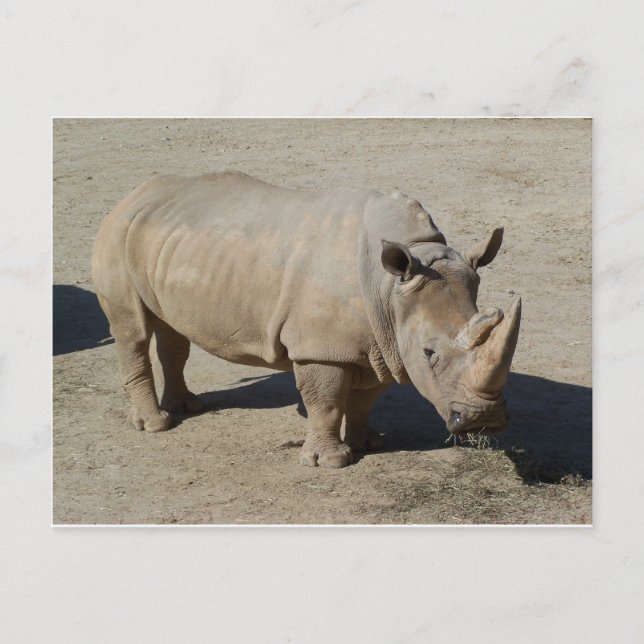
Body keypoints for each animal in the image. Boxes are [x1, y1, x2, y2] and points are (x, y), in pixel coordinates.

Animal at [92, 170, 521, 468]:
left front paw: (369, 443)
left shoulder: (383, 340)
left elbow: (364, 399)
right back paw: (157, 424)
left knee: (171, 330)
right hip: (117, 232)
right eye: (430, 354)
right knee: (133, 329)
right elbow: (325, 402)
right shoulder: (322, 347)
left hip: (168, 240)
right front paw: (329, 462)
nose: (484, 421)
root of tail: (134, 194)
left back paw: (188, 407)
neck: (391, 287)